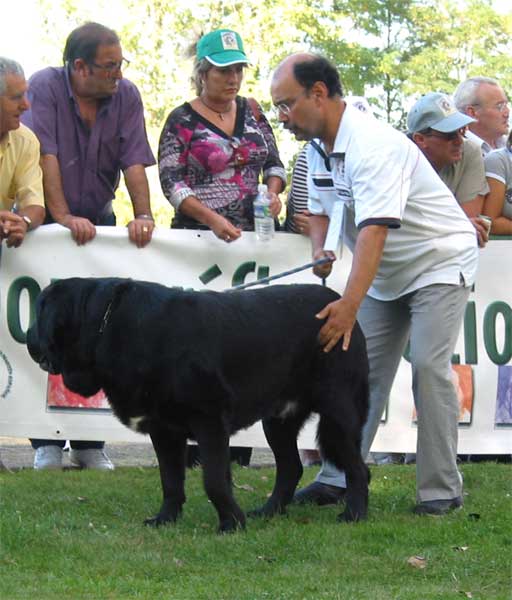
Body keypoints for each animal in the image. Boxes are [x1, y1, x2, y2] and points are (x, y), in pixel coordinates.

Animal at [27, 278, 368, 532]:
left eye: (40, 311)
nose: (28, 338)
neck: (110, 323)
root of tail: (342, 305)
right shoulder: (164, 430)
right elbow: (170, 479)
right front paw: (165, 519)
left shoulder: (209, 422)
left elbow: (214, 480)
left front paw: (231, 524)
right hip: (278, 420)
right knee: (290, 467)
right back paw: (269, 511)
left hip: (337, 413)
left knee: (358, 468)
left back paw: (354, 514)